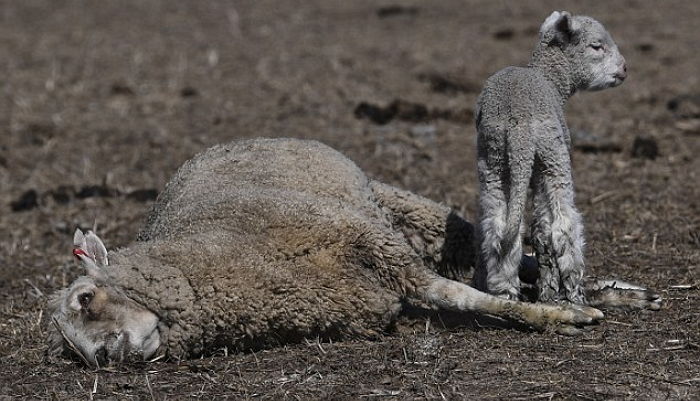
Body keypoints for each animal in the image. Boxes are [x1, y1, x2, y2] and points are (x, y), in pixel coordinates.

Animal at [46, 138, 660, 366]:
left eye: (85, 297)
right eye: (75, 352)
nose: (105, 358)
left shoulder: (385, 253)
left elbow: (472, 298)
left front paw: (562, 316)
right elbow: (469, 295)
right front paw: (563, 310)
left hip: (395, 207)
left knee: (486, 252)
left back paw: (608, 292)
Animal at [474, 10, 628, 302]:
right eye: (596, 46)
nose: (625, 70)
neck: (552, 80)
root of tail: (518, 124)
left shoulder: (532, 171)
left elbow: (539, 231)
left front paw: (547, 293)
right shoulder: (546, 164)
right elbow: (548, 228)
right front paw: (554, 292)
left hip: (494, 161)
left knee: (498, 226)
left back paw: (505, 292)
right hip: (553, 157)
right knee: (564, 226)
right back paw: (576, 294)